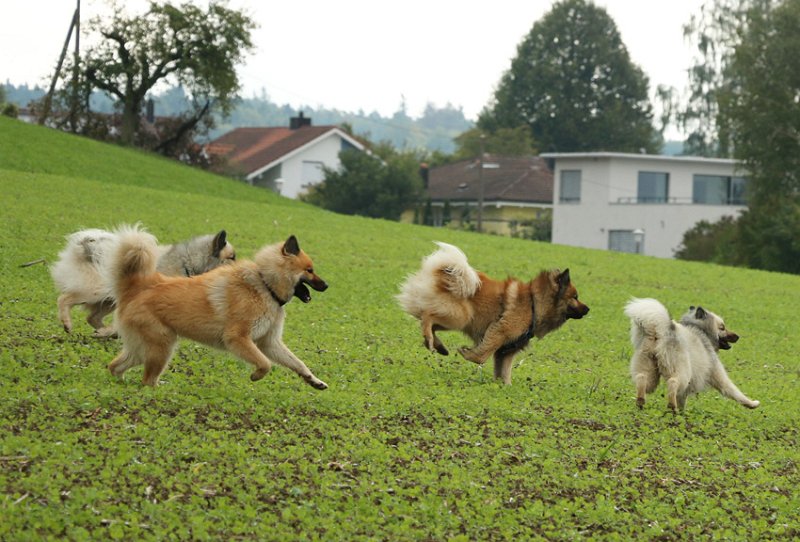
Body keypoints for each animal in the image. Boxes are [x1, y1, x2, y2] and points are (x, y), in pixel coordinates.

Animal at [51, 224, 234, 336]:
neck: (188, 264)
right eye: (232, 257)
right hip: (95, 291)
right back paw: (68, 324)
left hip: (109, 299)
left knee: (93, 318)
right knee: (64, 299)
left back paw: (105, 332)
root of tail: (89, 246)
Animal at [398, 242, 592, 386]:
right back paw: (431, 340)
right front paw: (467, 353)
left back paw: (438, 346)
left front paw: (504, 387)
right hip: (459, 317)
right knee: (427, 317)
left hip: (455, 319)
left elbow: (504, 373)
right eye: (575, 297)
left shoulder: (506, 351)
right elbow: (482, 356)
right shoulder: (499, 332)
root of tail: (443, 276)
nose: (589, 309)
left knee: (429, 323)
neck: (534, 304)